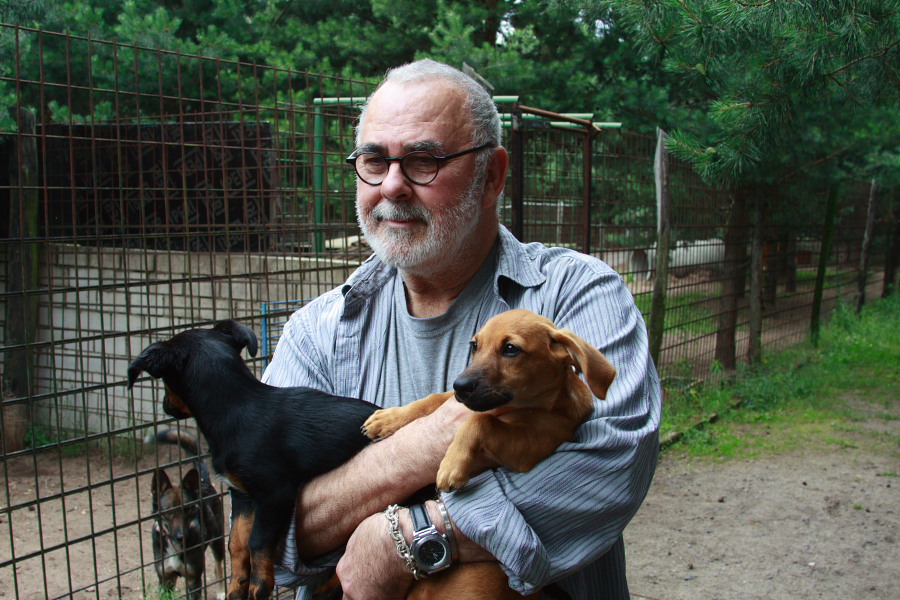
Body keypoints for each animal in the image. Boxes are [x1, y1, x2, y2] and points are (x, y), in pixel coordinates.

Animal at [146, 426, 227, 600]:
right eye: (168, 511)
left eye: (188, 509)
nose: (180, 536)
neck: (175, 548)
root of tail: (203, 481)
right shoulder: (165, 579)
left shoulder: (193, 580)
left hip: (218, 540)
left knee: (219, 566)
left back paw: (222, 591)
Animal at [362, 310, 616, 600]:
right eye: (475, 345)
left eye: (510, 349)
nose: (460, 385)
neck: (527, 407)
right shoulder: (457, 401)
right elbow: (432, 399)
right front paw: (389, 418)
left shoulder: (532, 445)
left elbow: (481, 421)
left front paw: (452, 464)